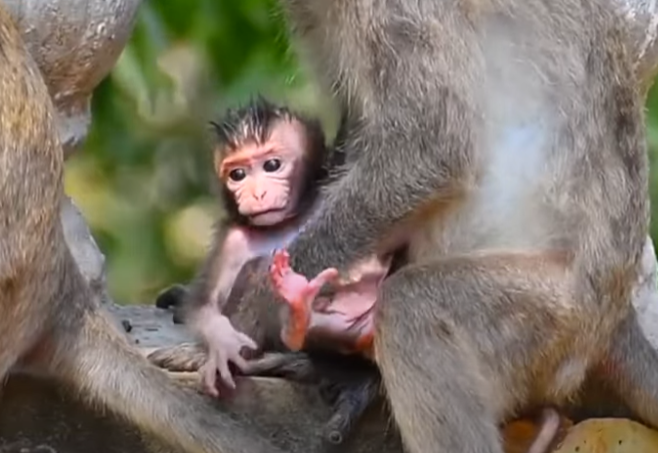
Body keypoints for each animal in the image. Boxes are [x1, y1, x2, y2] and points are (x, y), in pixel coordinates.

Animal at [180, 1, 658, 452]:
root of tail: (614, 317)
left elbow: (429, 144)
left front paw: (255, 309)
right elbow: (358, 125)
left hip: (554, 319)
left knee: (413, 306)